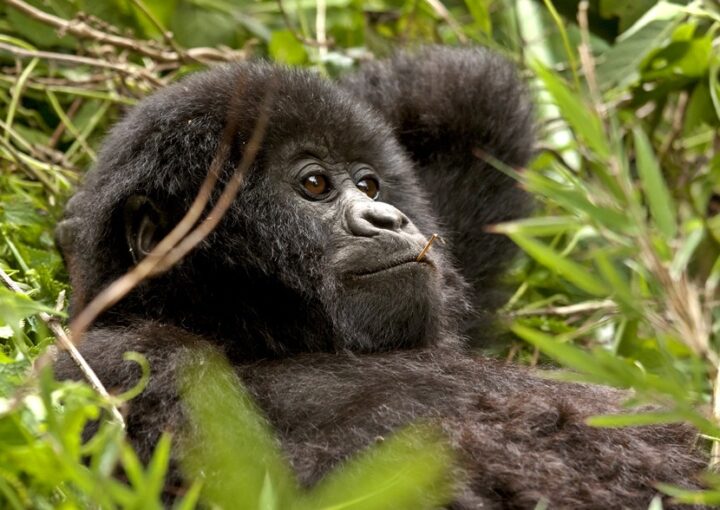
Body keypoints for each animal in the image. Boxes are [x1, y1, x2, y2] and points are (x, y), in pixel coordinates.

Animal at [54, 47, 707, 508]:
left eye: (369, 184)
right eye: (314, 184)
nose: (389, 217)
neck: (255, 338)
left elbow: (464, 101)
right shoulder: (121, 364)